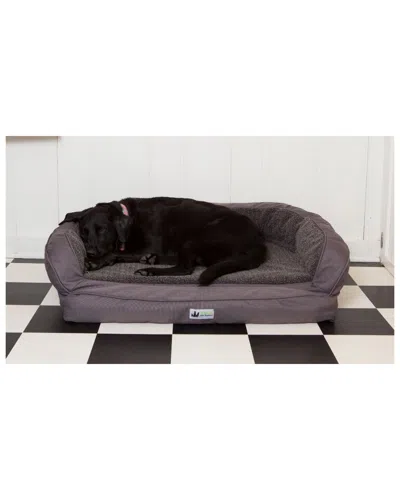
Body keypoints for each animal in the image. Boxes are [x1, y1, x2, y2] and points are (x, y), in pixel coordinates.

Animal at [60, 197, 266, 285]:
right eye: (83, 233)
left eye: (101, 230)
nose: (90, 252)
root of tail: (259, 244)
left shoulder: (148, 244)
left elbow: (115, 252)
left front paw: (96, 262)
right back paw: (151, 260)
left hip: (196, 237)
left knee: (185, 268)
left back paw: (149, 270)